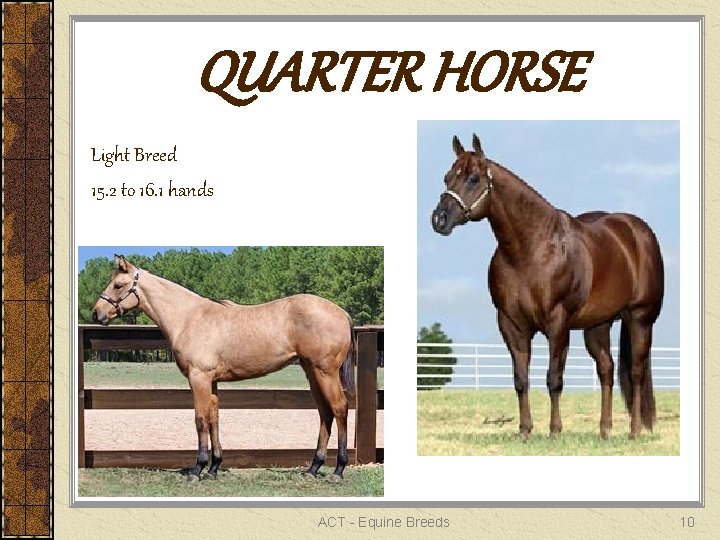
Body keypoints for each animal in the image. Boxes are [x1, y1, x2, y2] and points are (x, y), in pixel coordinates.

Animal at [91, 255, 356, 481]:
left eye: (117, 285)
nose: (96, 314)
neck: (189, 317)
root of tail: (342, 312)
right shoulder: (212, 381)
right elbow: (214, 419)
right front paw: (213, 468)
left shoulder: (198, 378)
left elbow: (200, 419)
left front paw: (197, 470)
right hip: (312, 372)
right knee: (325, 413)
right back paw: (313, 468)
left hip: (325, 372)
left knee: (339, 408)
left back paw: (338, 470)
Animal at [431, 134, 664, 440]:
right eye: (447, 177)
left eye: (473, 178)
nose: (439, 219)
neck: (531, 251)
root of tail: (637, 232)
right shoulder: (511, 324)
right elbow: (521, 379)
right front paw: (524, 431)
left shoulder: (558, 324)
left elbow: (554, 379)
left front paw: (554, 432)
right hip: (597, 325)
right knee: (607, 369)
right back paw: (604, 430)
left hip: (640, 318)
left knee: (635, 373)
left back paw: (634, 431)